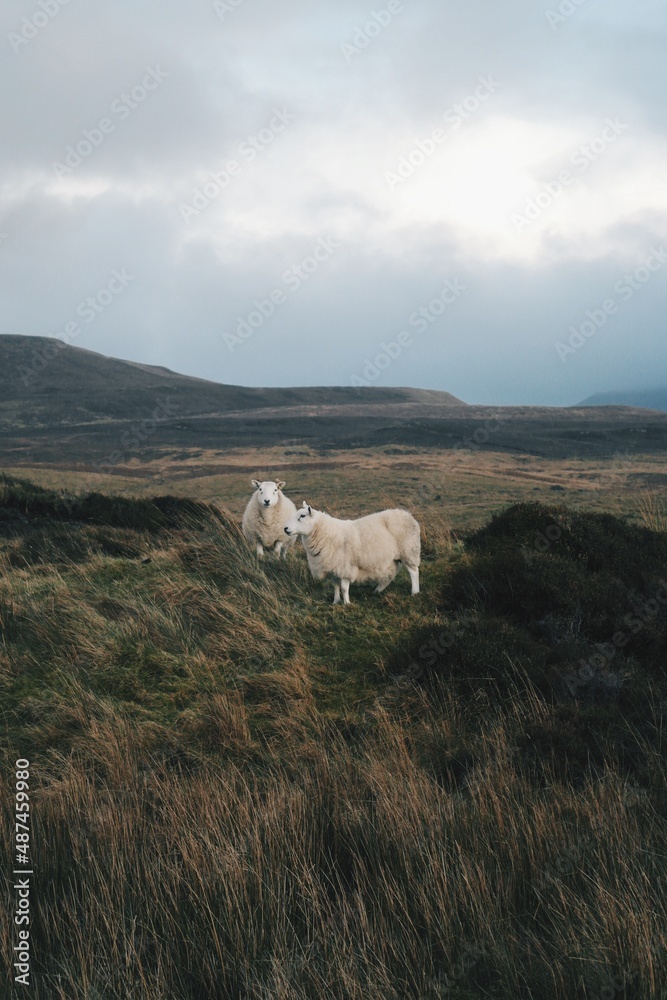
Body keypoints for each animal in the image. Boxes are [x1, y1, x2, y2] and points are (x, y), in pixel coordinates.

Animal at [284, 500, 420, 600]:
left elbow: (344, 588)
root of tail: (407, 515)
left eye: (302, 516)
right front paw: (336, 601)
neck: (326, 533)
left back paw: (414, 592)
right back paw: (377, 590)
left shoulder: (345, 567)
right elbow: (335, 586)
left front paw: (346, 603)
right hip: (393, 557)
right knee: (390, 574)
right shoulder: (333, 567)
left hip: (408, 550)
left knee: (413, 571)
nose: (285, 528)